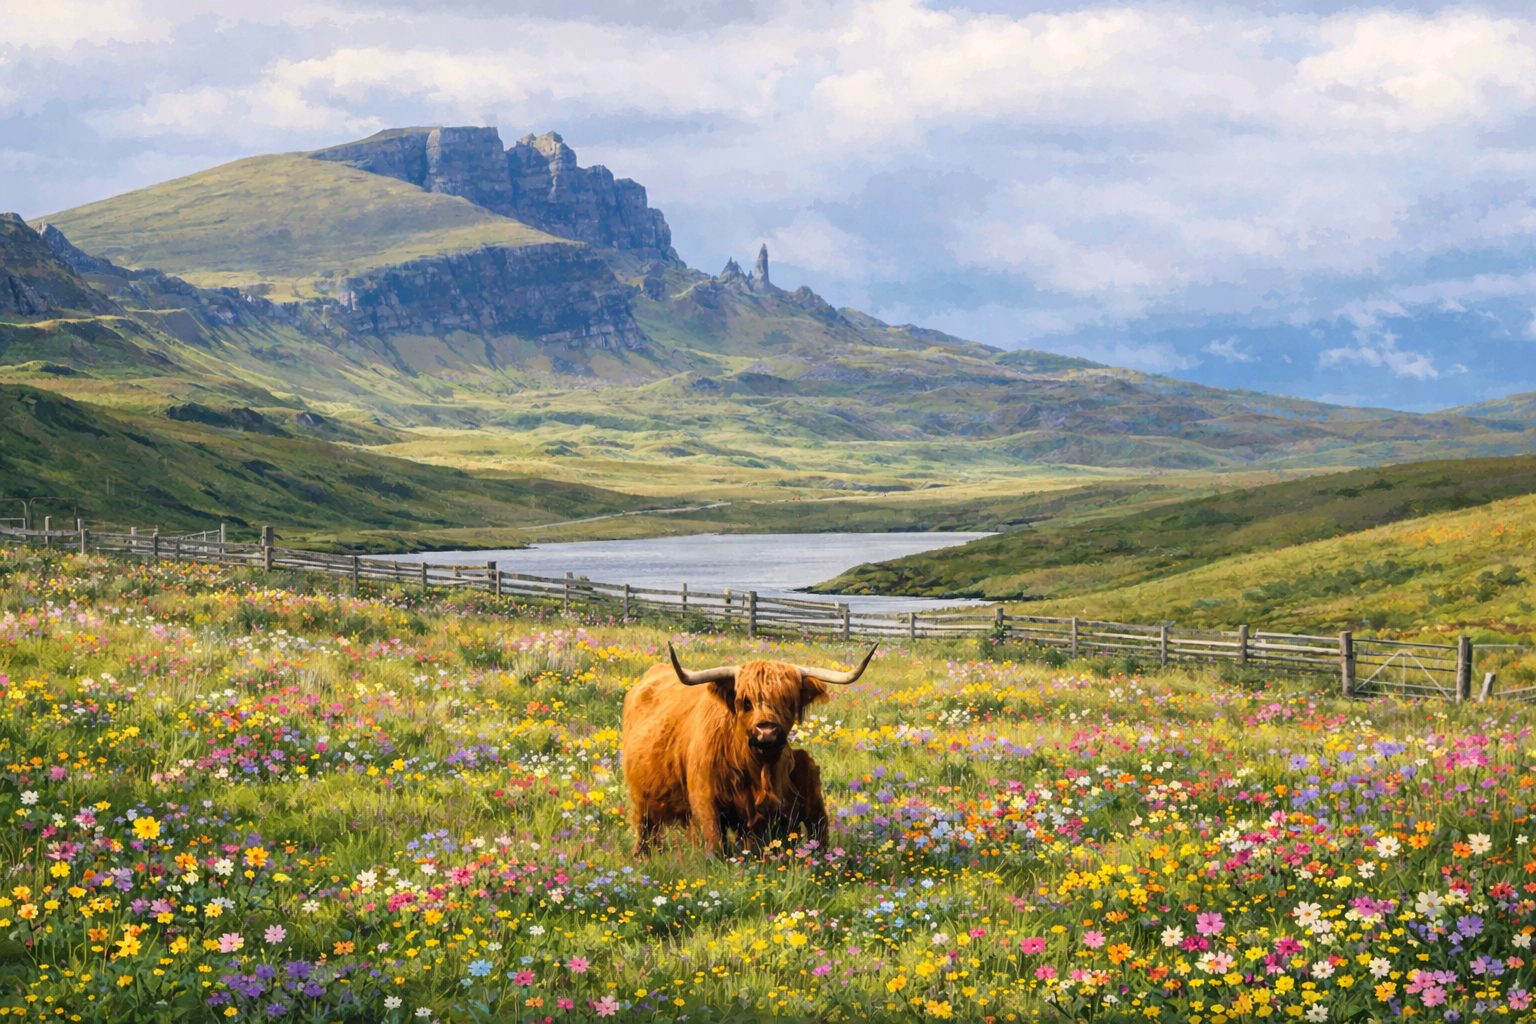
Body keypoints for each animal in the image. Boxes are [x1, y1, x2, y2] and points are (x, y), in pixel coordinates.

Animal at [621, 643, 876, 857]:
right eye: (745, 702)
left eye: (788, 701)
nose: (767, 731)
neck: (754, 767)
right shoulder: (704, 798)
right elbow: (715, 841)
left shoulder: (765, 811)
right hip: (641, 797)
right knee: (644, 827)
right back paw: (641, 858)